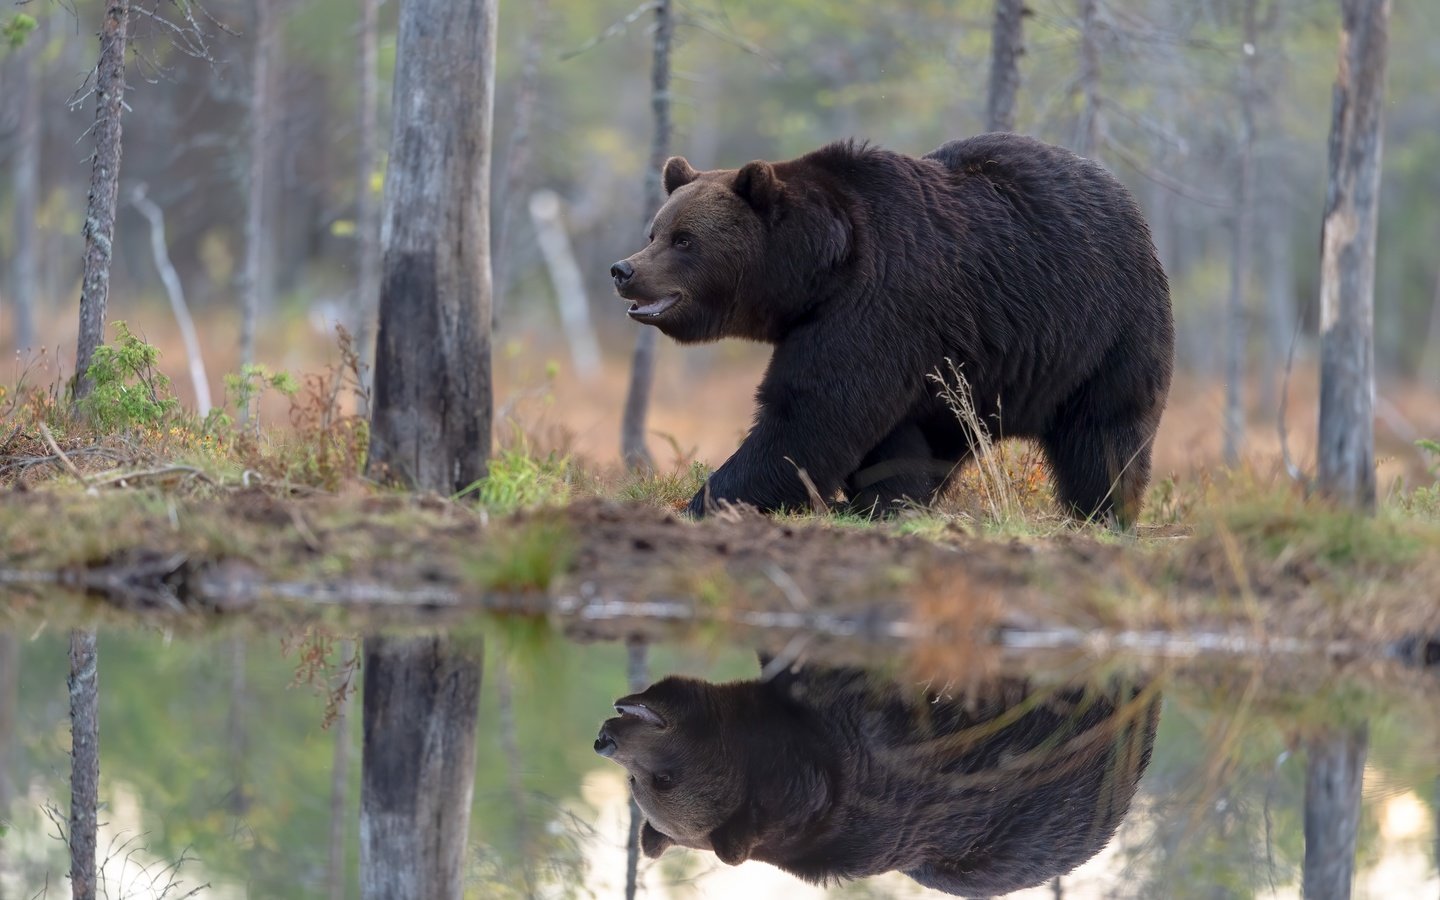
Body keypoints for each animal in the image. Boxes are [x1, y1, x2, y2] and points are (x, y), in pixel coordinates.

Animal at [607, 135, 1169, 527]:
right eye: (654, 232)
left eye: (684, 239)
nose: (623, 269)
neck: (818, 271)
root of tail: (1128, 200)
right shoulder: (889, 340)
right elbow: (885, 437)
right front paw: (880, 502)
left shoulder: (879, 304)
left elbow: (810, 415)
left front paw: (707, 500)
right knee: (947, 438)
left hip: (1105, 329)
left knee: (1104, 432)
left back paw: (1103, 512)